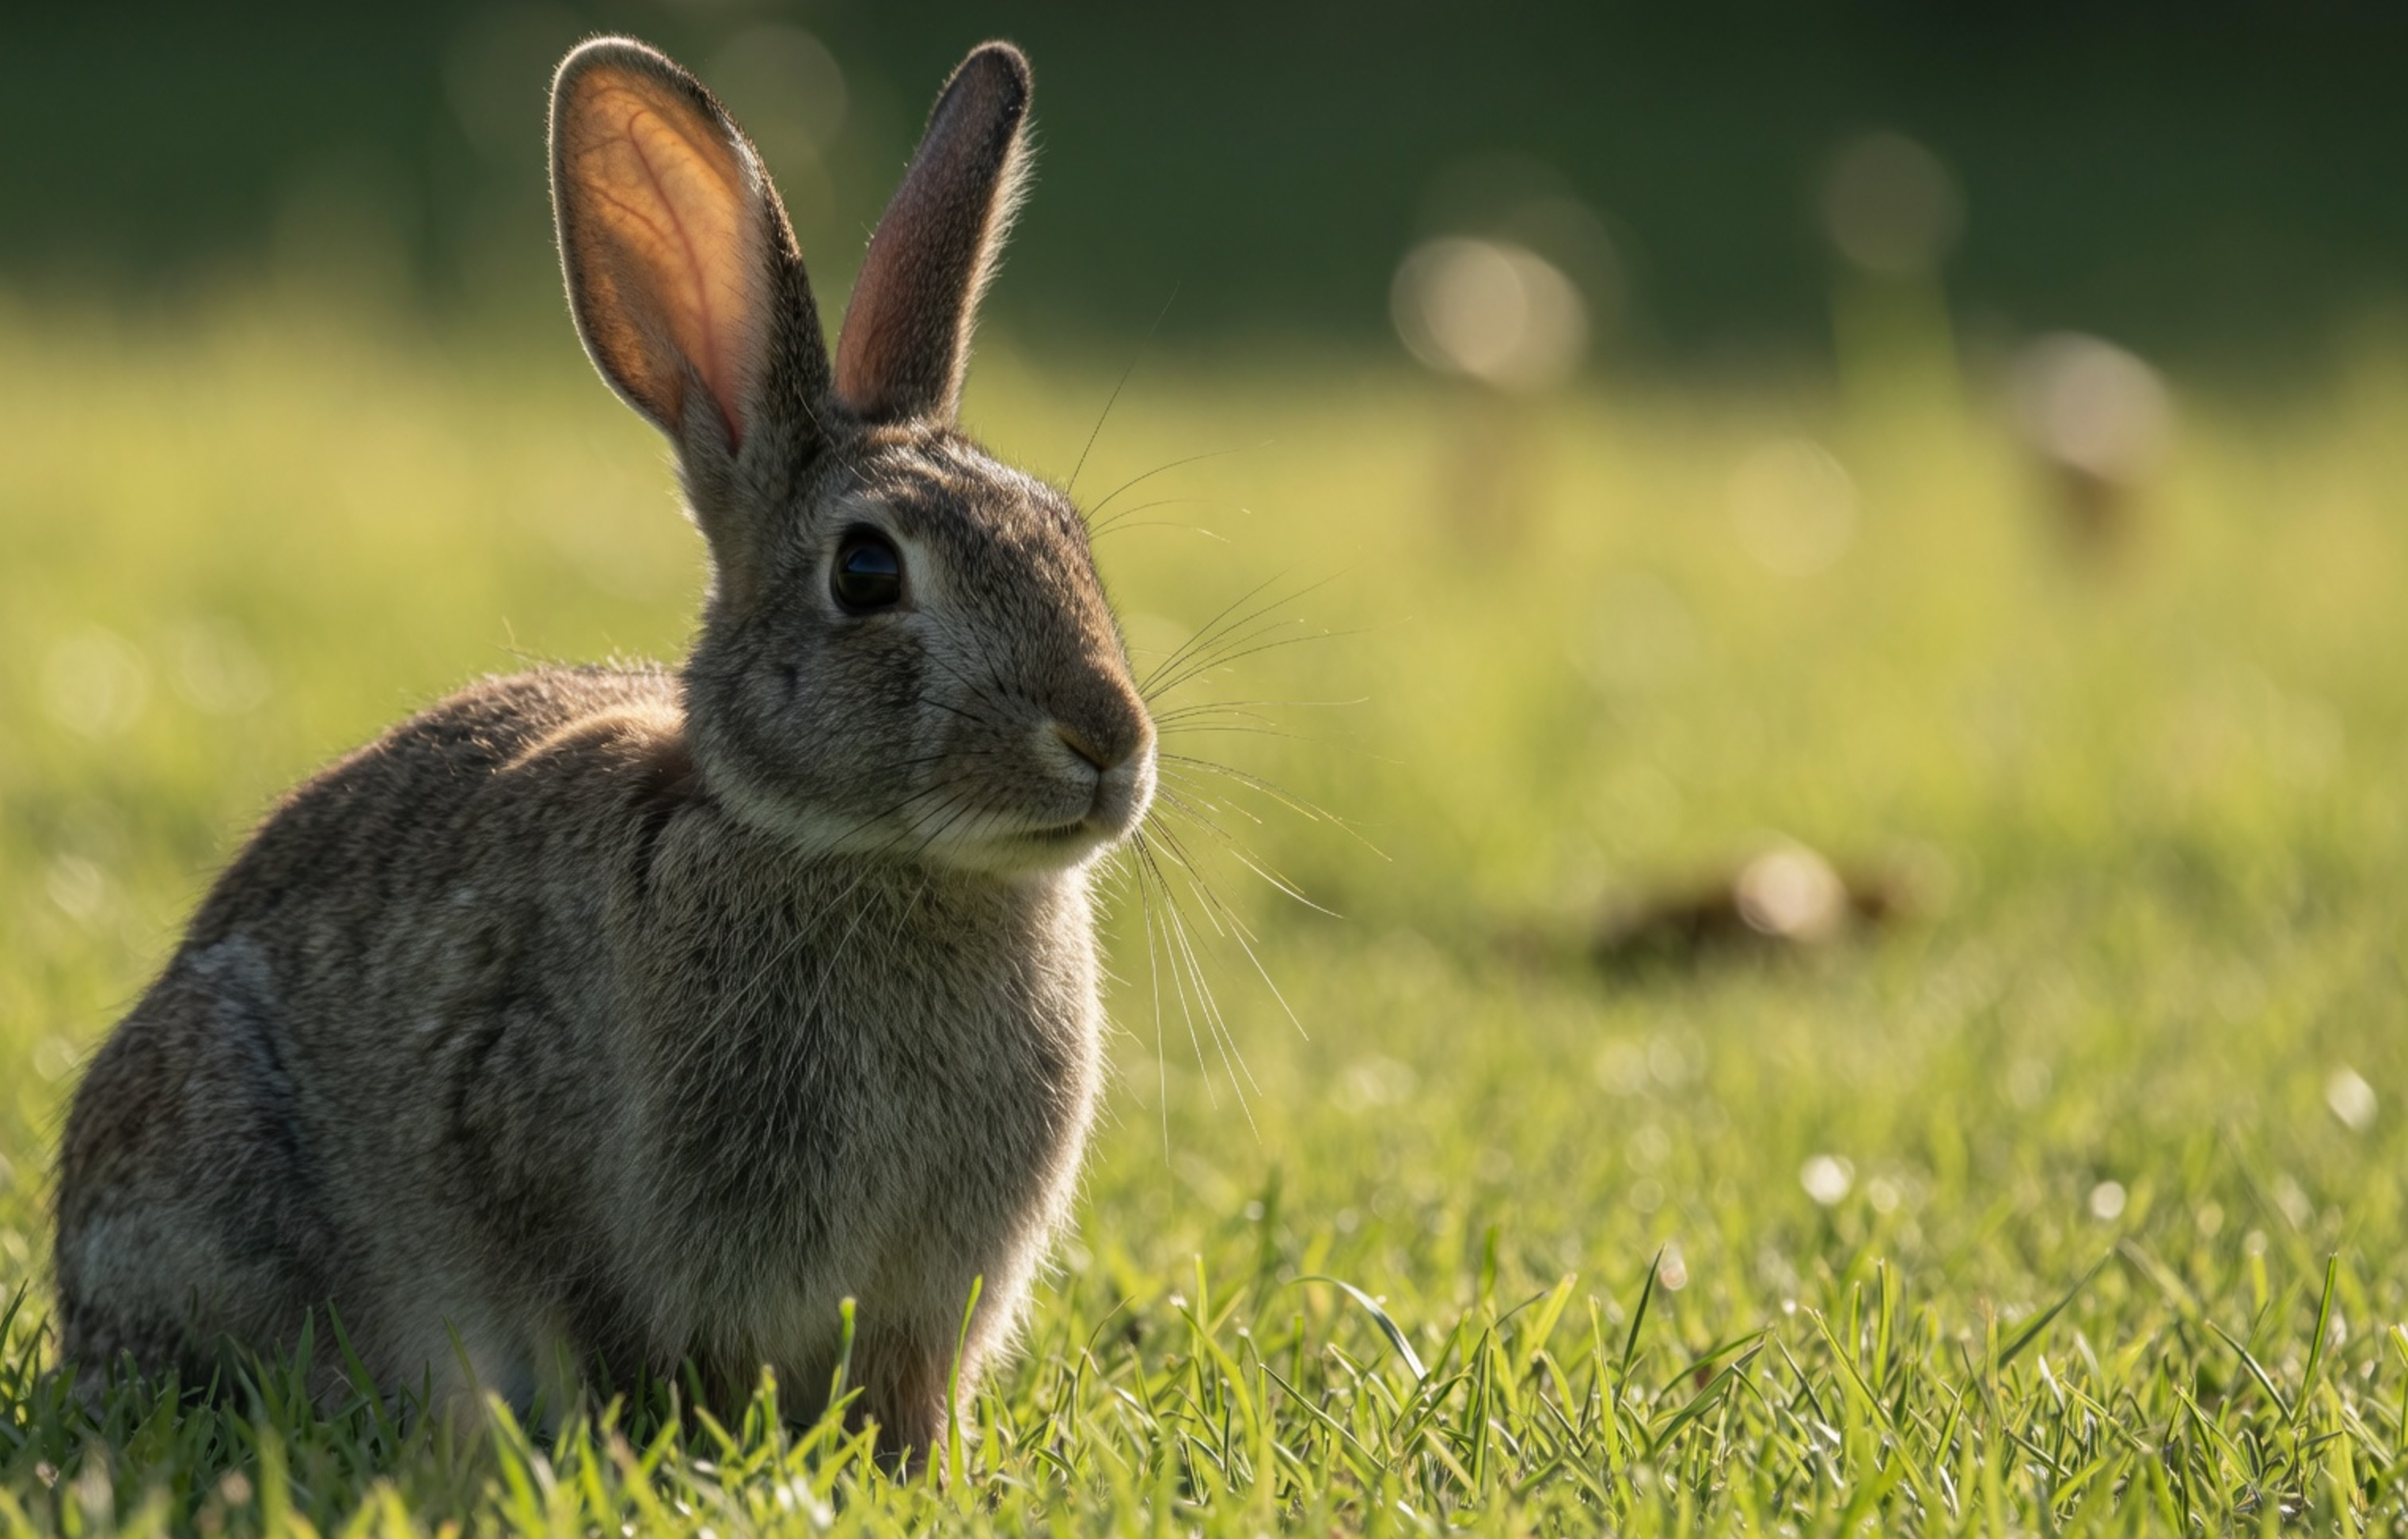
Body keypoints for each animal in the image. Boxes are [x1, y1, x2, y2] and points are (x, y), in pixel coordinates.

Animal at [54, 34, 1155, 1467]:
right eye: (866, 571)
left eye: (1068, 536)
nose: (1110, 743)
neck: (864, 856)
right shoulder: (546, 1172)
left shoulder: (921, 1305)